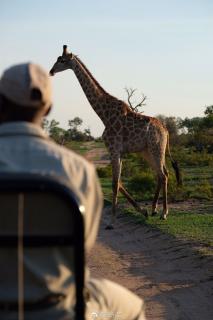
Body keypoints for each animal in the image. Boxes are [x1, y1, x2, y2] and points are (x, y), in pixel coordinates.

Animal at [50, 46, 181, 229]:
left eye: (62, 60)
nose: (51, 71)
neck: (103, 115)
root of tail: (166, 130)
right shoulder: (119, 152)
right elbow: (119, 183)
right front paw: (143, 211)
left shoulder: (114, 149)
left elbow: (114, 183)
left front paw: (112, 222)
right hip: (146, 151)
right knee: (163, 174)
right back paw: (155, 210)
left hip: (157, 148)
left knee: (163, 174)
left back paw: (163, 213)